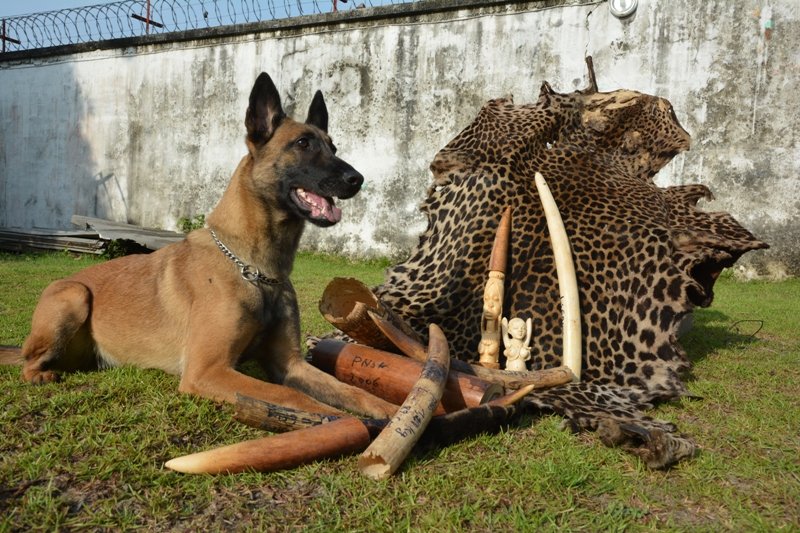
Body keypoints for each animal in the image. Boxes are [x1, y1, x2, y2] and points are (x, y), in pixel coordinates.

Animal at [21, 71, 400, 420]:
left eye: (333, 147)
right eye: (303, 144)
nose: (357, 179)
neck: (255, 268)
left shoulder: (291, 364)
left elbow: (349, 390)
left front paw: (391, 410)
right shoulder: (208, 370)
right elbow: (292, 396)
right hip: (74, 295)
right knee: (28, 361)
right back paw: (40, 374)